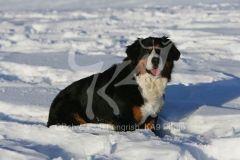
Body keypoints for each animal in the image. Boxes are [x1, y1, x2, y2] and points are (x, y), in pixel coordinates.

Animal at [47, 36, 180, 134]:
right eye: (145, 51)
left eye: (160, 50)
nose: (155, 60)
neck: (146, 83)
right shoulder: (124, 121)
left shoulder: (151, 120)